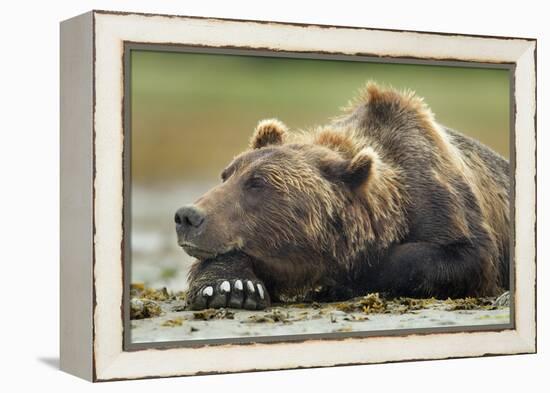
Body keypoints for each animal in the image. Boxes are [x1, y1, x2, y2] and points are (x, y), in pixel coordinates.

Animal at [175, 83, 512, 310]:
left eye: (257, 184)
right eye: (226, 174)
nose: (187, 216)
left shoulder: (441, 199)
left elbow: (463, 256)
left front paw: (345, 280)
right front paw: (232, 286)